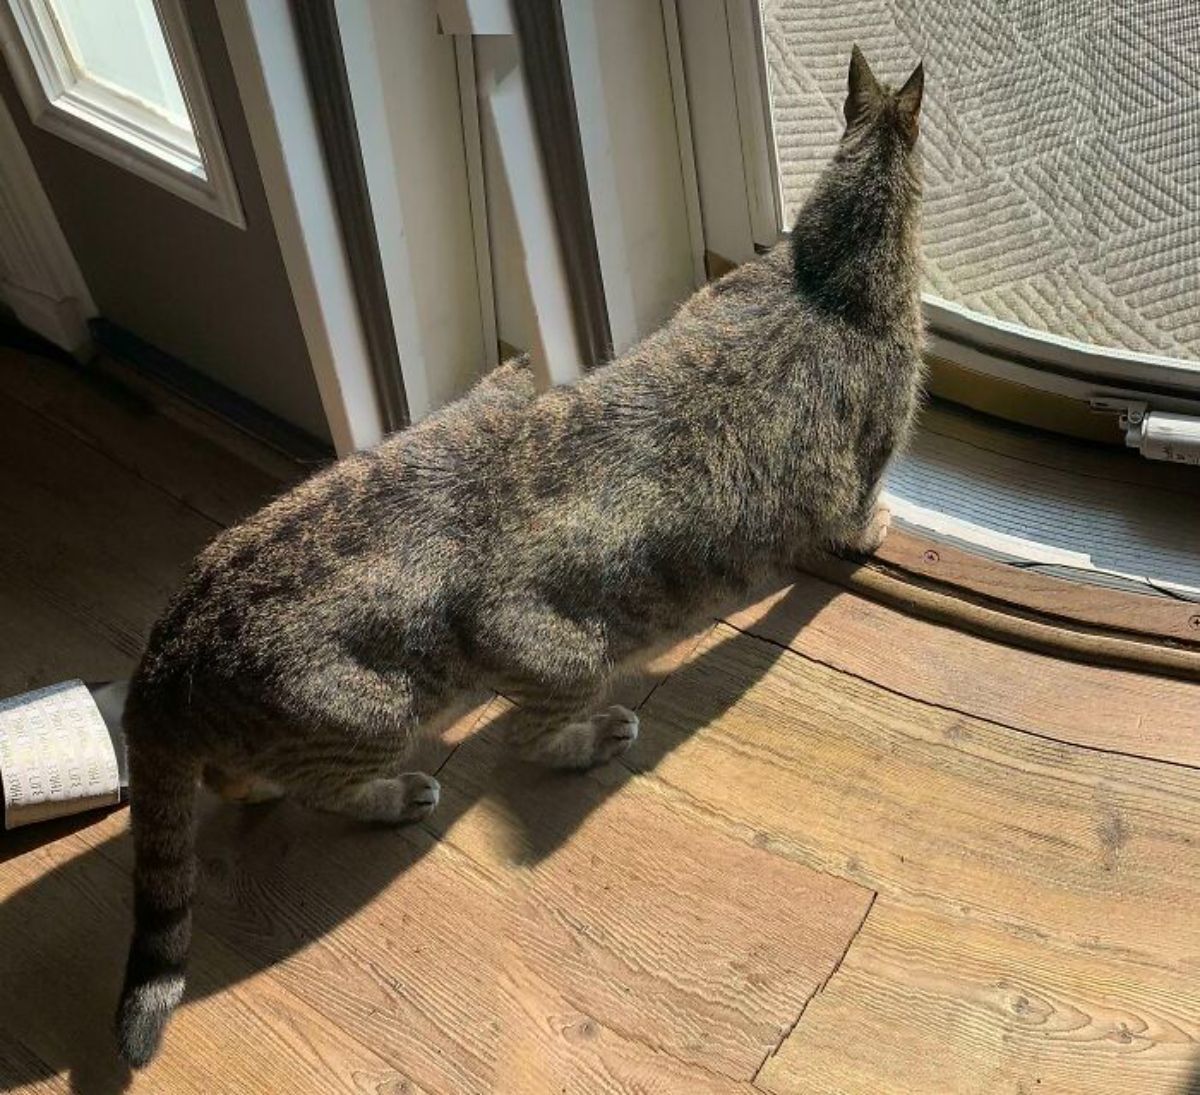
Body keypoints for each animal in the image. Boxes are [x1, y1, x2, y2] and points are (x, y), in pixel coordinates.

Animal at [117, 47, 926, 1066]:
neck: (822, 277)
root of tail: (164, 662)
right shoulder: (862, 459)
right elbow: (859, 516)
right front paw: (881, 530)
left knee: (234, 775)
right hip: (482, 675)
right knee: (471, 751)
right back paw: (461, 774)